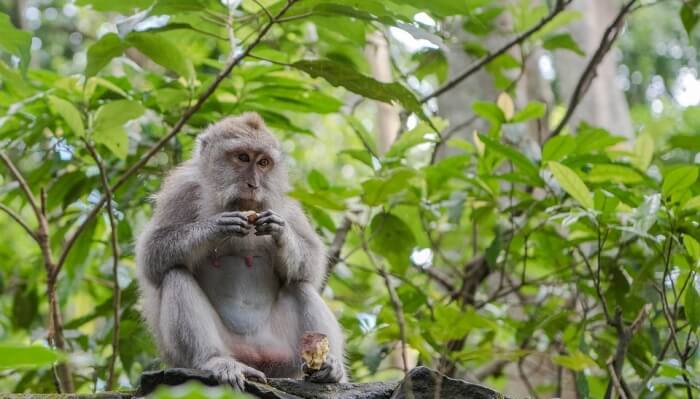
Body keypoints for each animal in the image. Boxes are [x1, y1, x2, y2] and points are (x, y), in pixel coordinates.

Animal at [135, 112, 346, 390]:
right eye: (243, 157)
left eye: (264, 162)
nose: (253, 184)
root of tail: (255, 358)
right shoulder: (181, 191)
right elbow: (152, 255)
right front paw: (216, 226)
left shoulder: (285, 202)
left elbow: (312, 264)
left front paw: (281, 232)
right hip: (210, 352)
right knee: (175, 274)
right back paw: (215, 361)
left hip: (283, 357)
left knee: (300, 286)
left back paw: (330, 367)